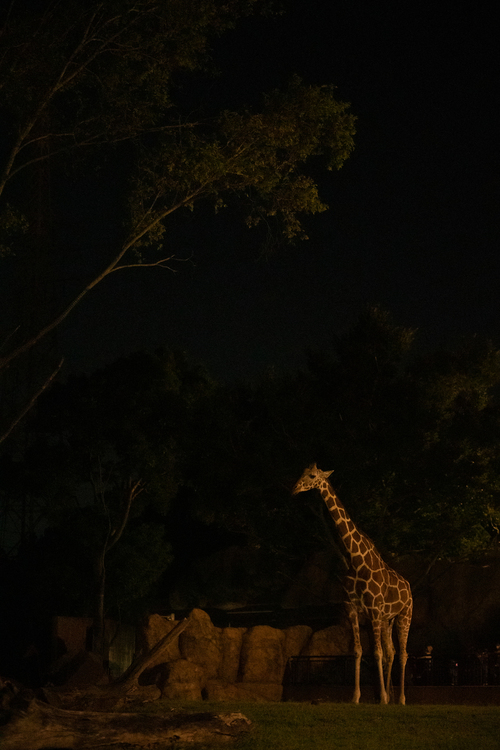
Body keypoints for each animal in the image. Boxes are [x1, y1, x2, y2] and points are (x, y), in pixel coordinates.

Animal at [292, 464, 412, 704]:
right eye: (302, 472)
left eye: (312, 476)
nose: (295, 488)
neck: (355, 558)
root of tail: (409, 588)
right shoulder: (353, 609)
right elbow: (358, 651)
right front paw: (356, 697)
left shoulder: (374, 610)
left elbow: (376, 652)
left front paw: (381, 698)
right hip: (388, 619)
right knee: (392, 652)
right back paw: (392, 697)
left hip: (405, 615)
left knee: (402, 653)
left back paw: (401, 699)